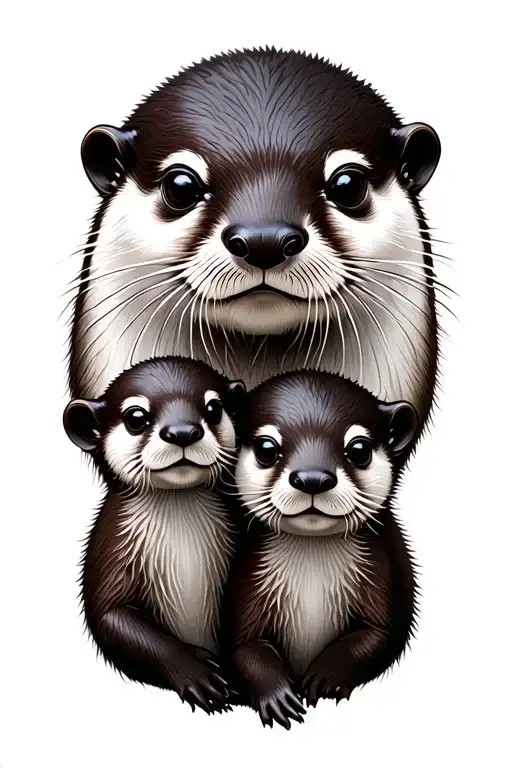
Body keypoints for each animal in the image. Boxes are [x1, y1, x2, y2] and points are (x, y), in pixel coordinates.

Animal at [63, 356, 246, 714]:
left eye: (214, 408)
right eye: (136, 417)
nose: (183, 432)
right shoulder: (110, 550)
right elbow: (110, 616)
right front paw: (196, 671)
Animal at [225, 371, 418, 729]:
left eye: (359, 448)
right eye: (266, 448)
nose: (312, 478)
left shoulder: (384, 574)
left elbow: (379, 636)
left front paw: (326, 675)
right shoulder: (246, 580)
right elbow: (244, 647)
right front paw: (277, 696)